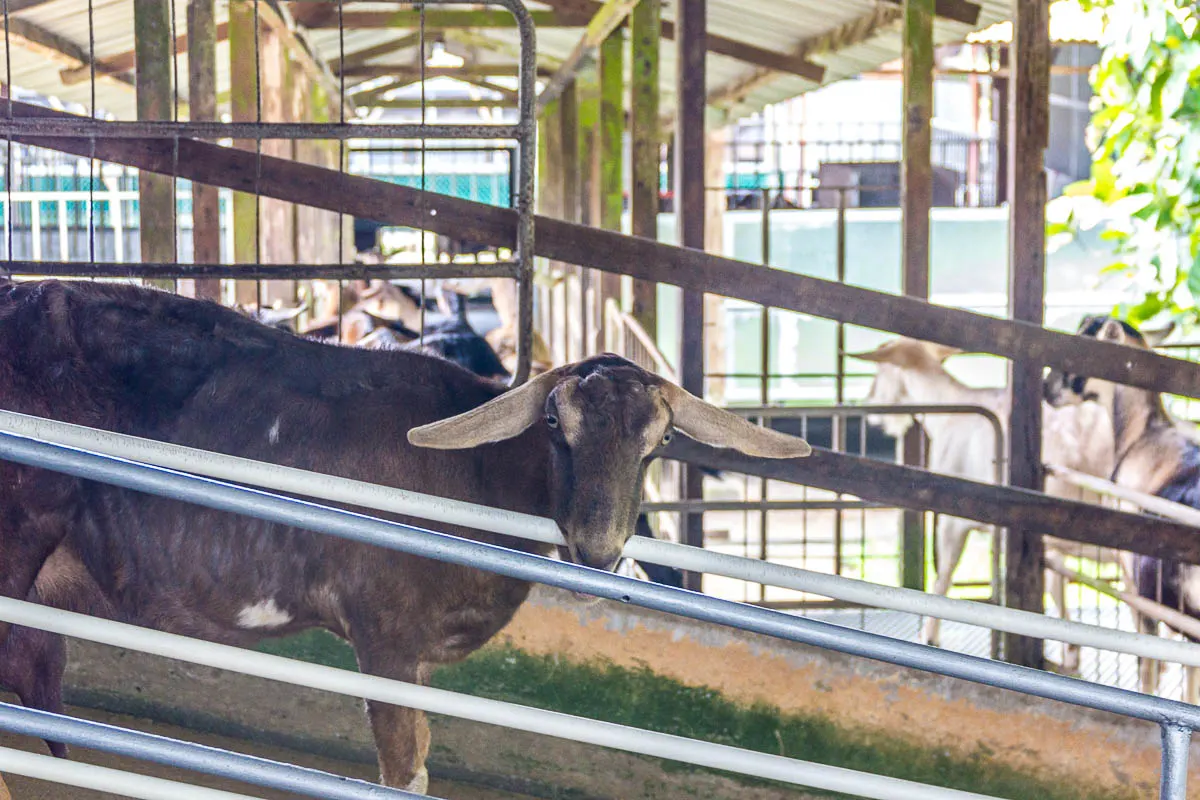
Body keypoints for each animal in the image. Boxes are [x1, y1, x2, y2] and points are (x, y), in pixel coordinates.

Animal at [0, 278, 811, 791]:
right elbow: (403, 768)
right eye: (556, 423)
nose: (598, 548)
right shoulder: (383, 637)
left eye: (660, 442)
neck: (476, 480)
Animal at [854, 338, 1113, 671]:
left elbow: (944, 574)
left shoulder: (954, 518)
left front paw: (929, 636)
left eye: (880, 370)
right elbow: (1050, 583)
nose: (870, 406)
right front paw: (1068, 650)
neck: (950, 410)